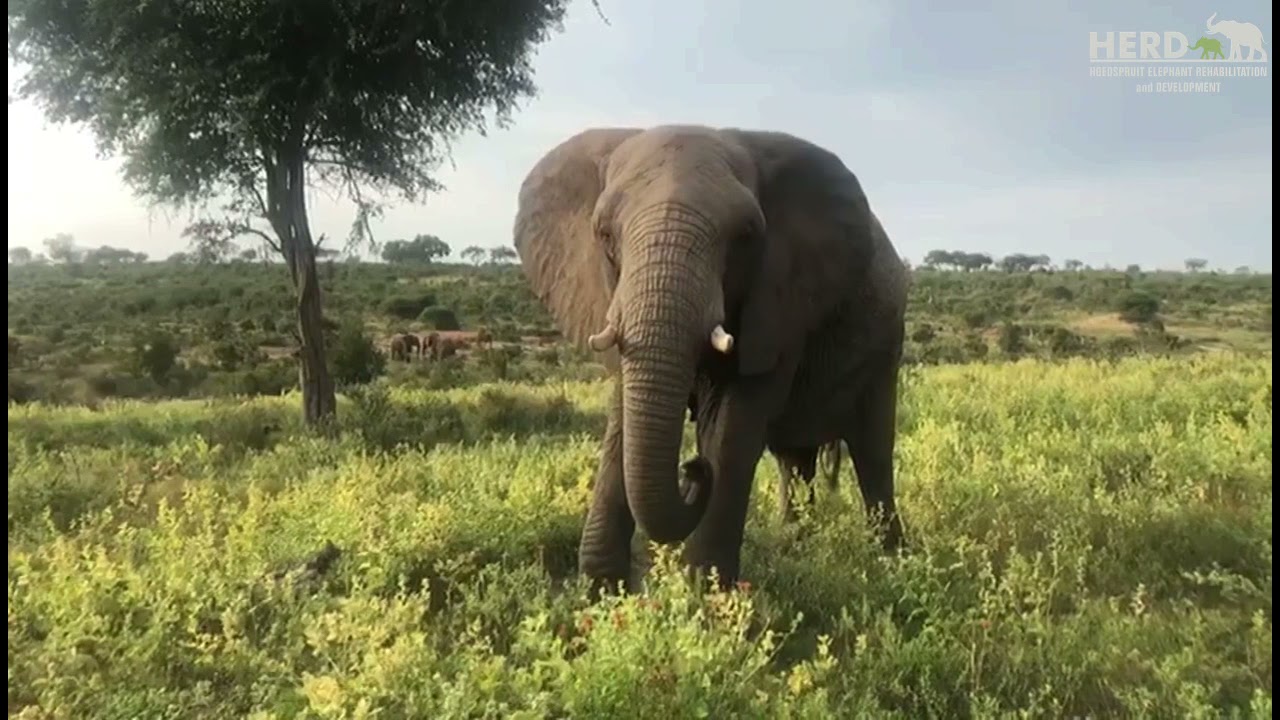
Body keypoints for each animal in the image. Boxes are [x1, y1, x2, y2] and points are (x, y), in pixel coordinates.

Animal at [513, 125, 909, 593]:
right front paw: (600, 594)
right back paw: (795, 547)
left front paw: (707, 595)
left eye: (746, 236)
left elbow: (733, 425)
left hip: (886, 345)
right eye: (605, 235)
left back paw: (892, 564)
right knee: (795, 461)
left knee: (873, 452)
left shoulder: (780, 301)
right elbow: (623, 418)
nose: (692, 468)